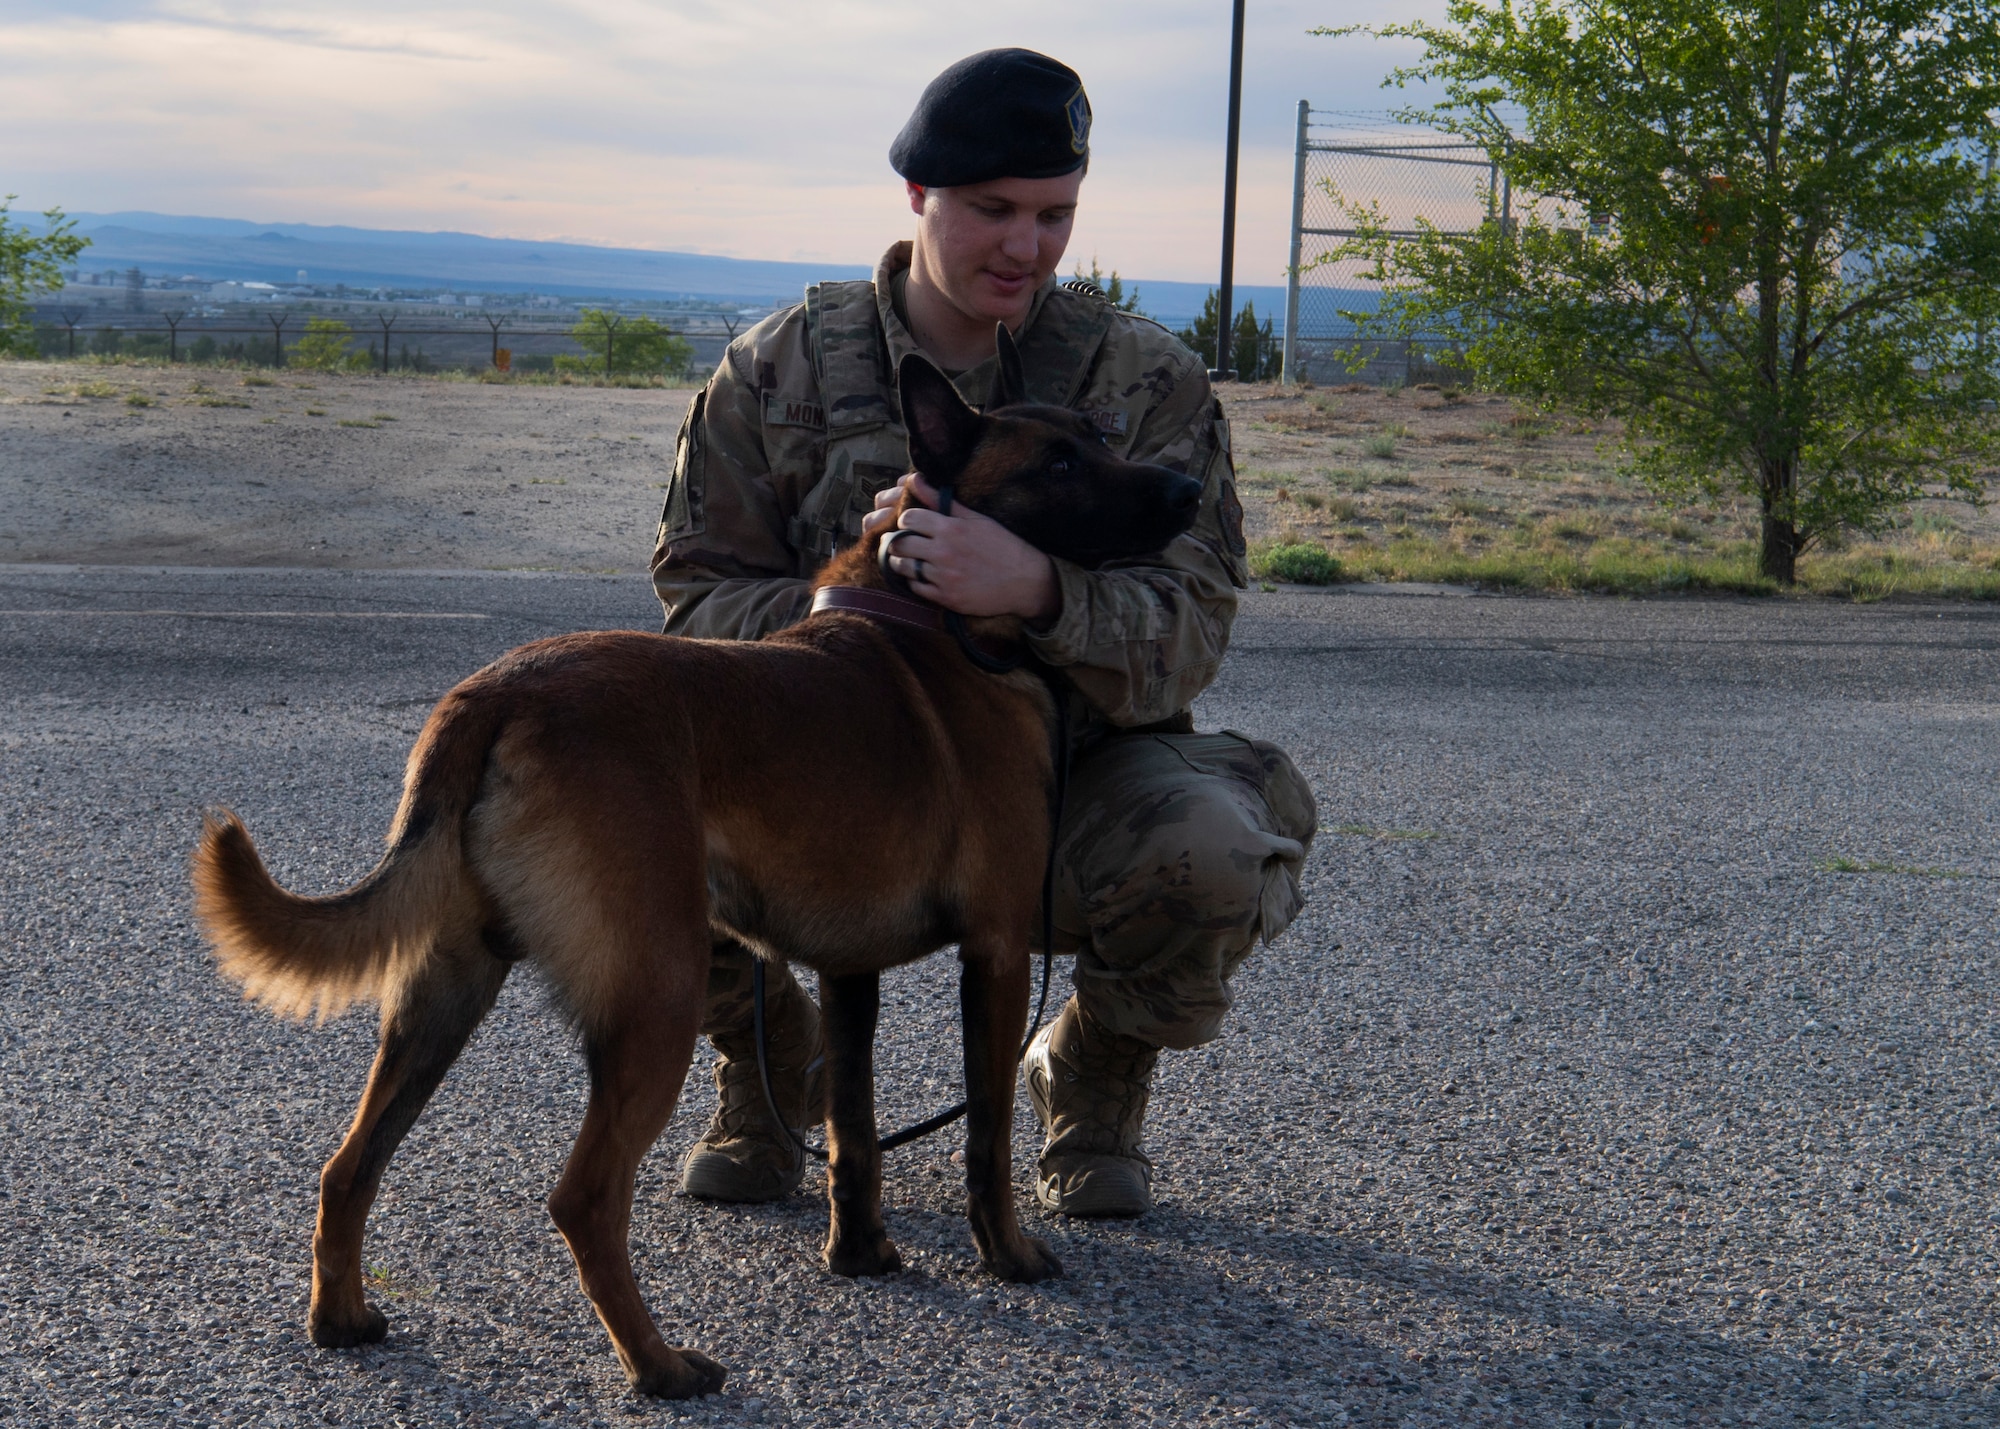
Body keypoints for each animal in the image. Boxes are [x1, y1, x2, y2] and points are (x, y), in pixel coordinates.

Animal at [191, 342, 1200, 1392]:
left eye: (1098, 438)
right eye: (1059, 462)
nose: (1192, 489)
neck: (933, 620)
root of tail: (494, 694)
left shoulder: (851, 971)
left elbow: (853, 1128)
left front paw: (862, 1254)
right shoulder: (997, 952)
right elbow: (989, 1128)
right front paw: (1008, 1256)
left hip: (443, 998)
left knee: (349, 1163)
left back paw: (341, 1313)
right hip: (656, 993)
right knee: (584, 1198)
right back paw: (660, 1365)